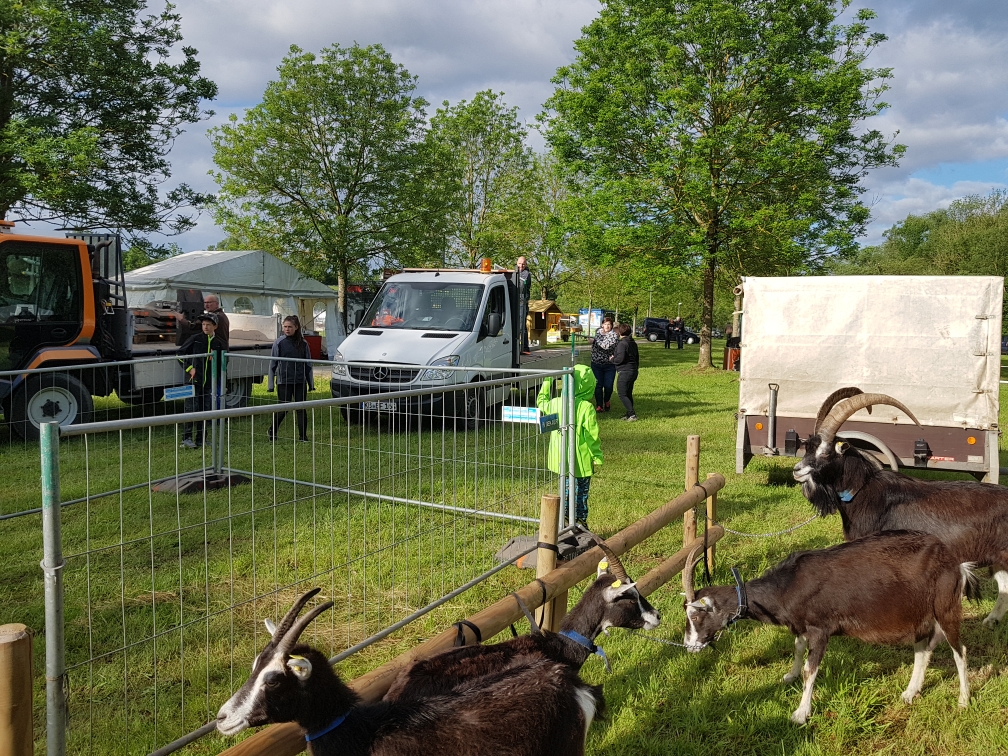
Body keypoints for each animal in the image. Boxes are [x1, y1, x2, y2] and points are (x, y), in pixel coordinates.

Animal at [681, 528, 971, 725]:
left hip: (945, 607)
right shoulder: (801, 625)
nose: (689, 646)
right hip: (918, 614)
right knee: (923, 649)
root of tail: (954, 561)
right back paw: (910, 693)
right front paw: (789, 676)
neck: (788, 585)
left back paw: (964, 700)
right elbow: (797, 648)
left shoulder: (821, 629)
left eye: (695, 616)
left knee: (959, 651)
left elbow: (811, 670)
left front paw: (800, 713)